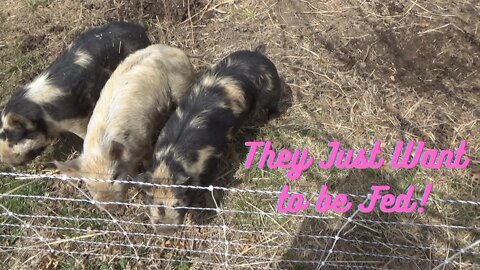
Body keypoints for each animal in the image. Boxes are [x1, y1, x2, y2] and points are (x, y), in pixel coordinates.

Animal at [53, 43, 194, 210]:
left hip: (182, 87)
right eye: (89, 184)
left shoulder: (143, 140)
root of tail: (176, 51)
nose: (109, 207)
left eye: (114, 176)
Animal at [136, 45, 282, 227]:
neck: (173, 158)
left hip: (271, 92)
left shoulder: (211, 159)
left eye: (177, 202)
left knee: (274, 106)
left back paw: (270, 119)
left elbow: (210, 186)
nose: (165, 229)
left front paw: (212, 208)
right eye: (152, 200)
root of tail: (258, 55)